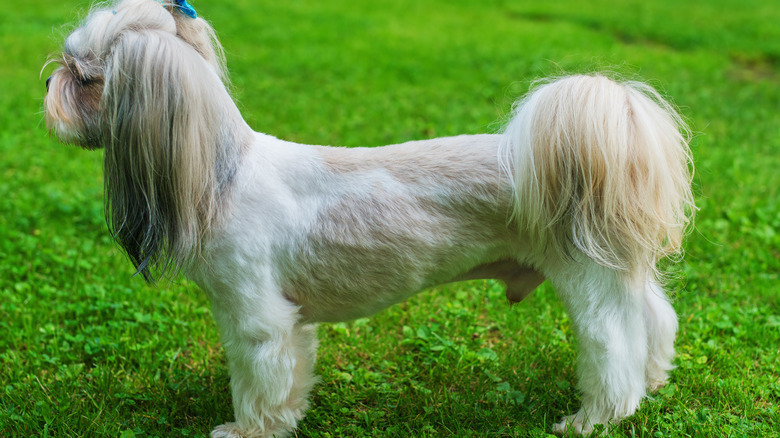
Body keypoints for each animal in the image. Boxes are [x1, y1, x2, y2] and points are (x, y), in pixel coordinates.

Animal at [44, 0, 696, 434]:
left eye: (84, 78)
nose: (49, 79)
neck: (220, 175)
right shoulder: (288, 322)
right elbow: (290, 379)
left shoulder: (257, 318)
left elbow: (258, 382)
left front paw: (247, 430)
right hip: (615, 274)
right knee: (653, 320)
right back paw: (655, 379)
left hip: (586, 281)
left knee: (612, 349)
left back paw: (593, 418)